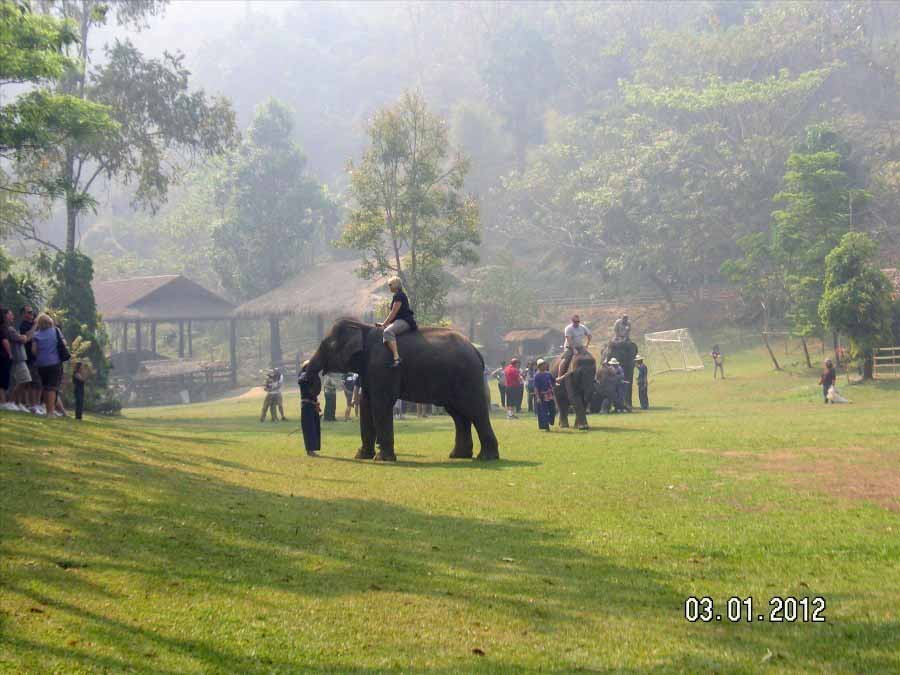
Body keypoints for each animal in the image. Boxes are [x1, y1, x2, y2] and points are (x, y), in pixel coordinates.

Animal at [302, 320, 500, 462]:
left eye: (326, 345)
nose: (306, 377)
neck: (363, 327)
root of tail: (476, 350)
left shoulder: (383, 367)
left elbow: (380, 404)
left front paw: (382, 459)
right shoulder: (369, 370)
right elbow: (366, 404)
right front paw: (361, 456)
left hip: (468, 378)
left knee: (475, 411)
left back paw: (486, 458)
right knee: (459, 415)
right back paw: (458, 455)